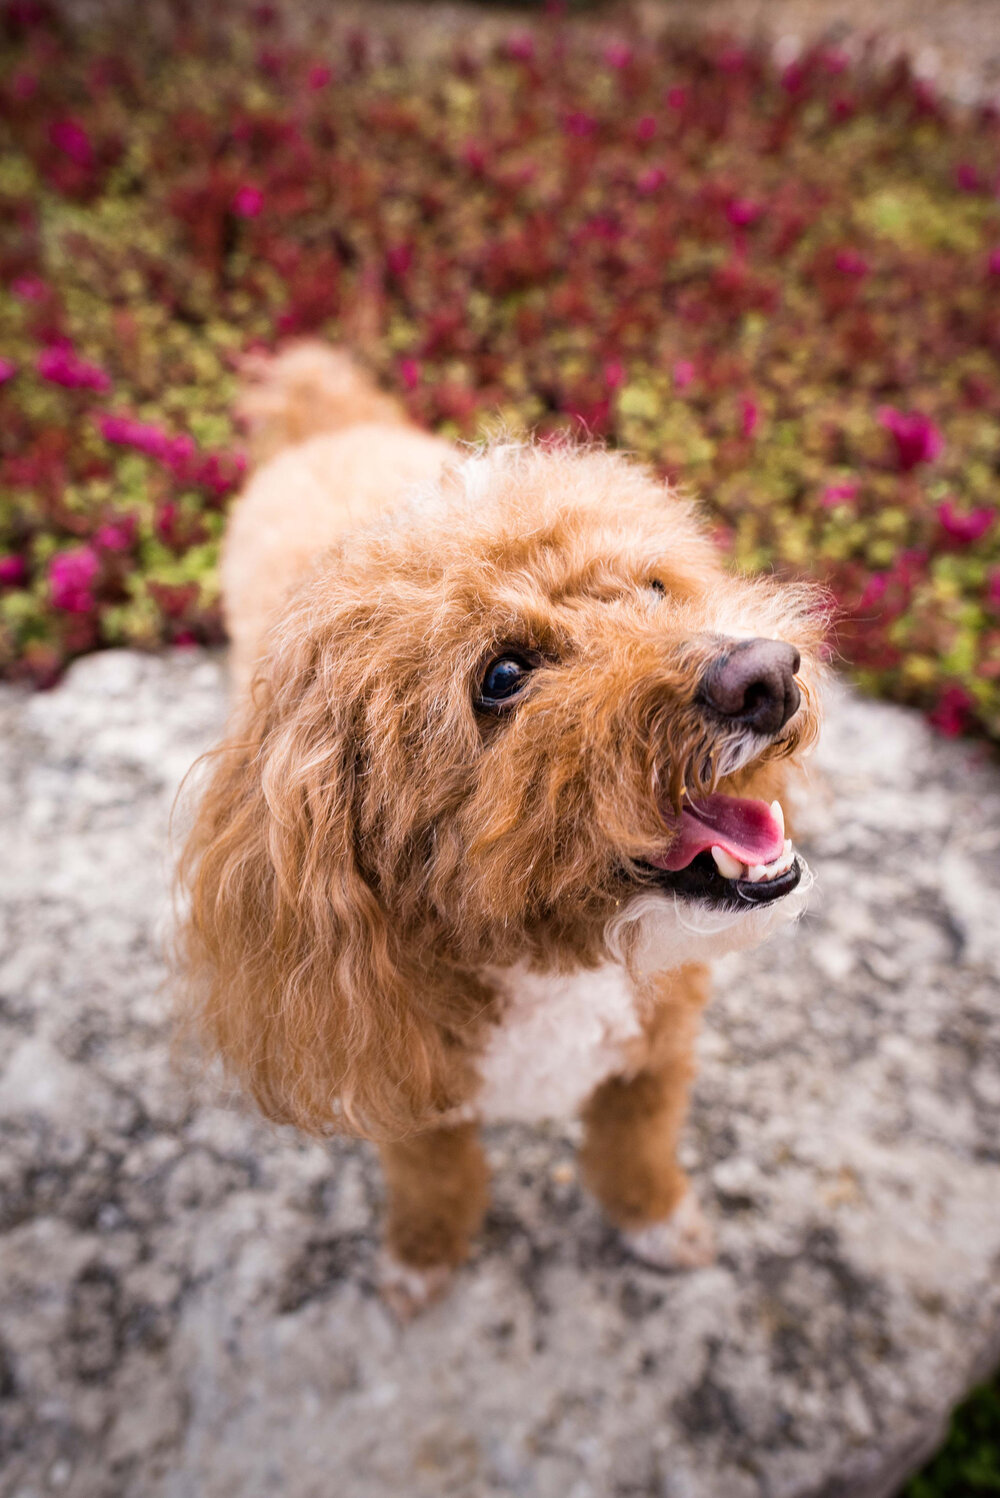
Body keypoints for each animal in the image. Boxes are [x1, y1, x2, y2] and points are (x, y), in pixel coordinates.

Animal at [177, 340, 820, 1312]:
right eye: (503, 675)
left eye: (656, 587)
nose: (765, 676)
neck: (550, 963)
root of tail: (325, 418)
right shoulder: (402, 1084)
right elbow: (436, 1180)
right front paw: (420, 1259)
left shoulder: (655, 1053)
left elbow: (635, 1147)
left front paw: (659, 1221)